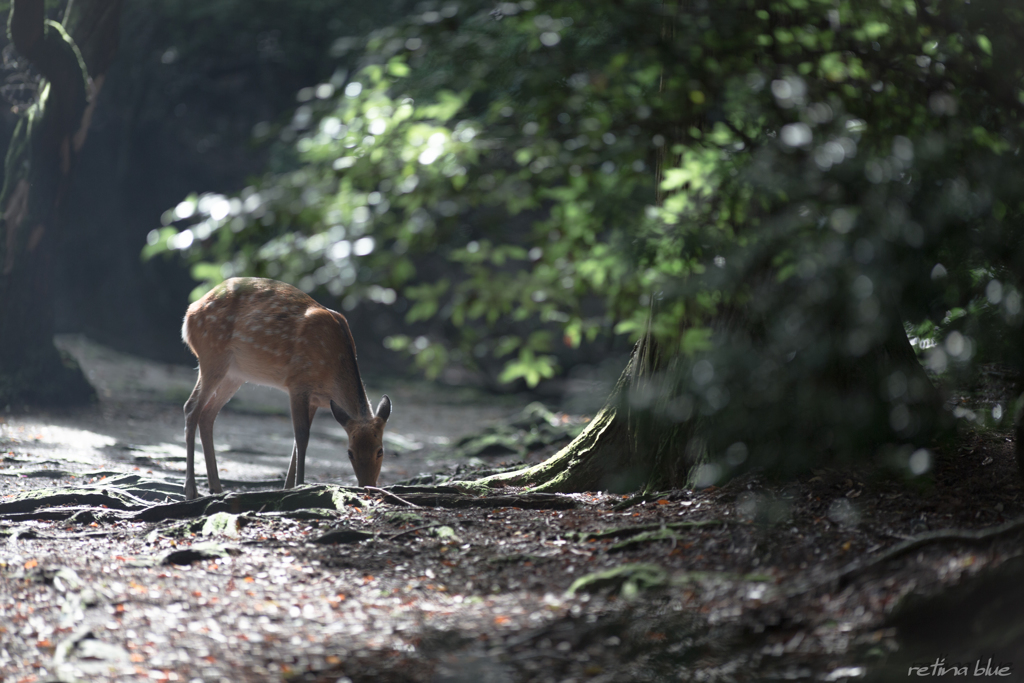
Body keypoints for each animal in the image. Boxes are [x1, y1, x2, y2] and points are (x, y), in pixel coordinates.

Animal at [178, 278, 389, 501]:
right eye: (349, 452)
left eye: (380, 450)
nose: (367, 486)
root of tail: (190, 313)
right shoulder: (298, 383)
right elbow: (302, 436)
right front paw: (300, 486)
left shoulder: (315, 399)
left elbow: (298, 442)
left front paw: (288, 488)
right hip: (212, 355)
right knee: (191, 407)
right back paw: (191, 490)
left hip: (235, 374)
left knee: (207, 414)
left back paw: (216, 487)